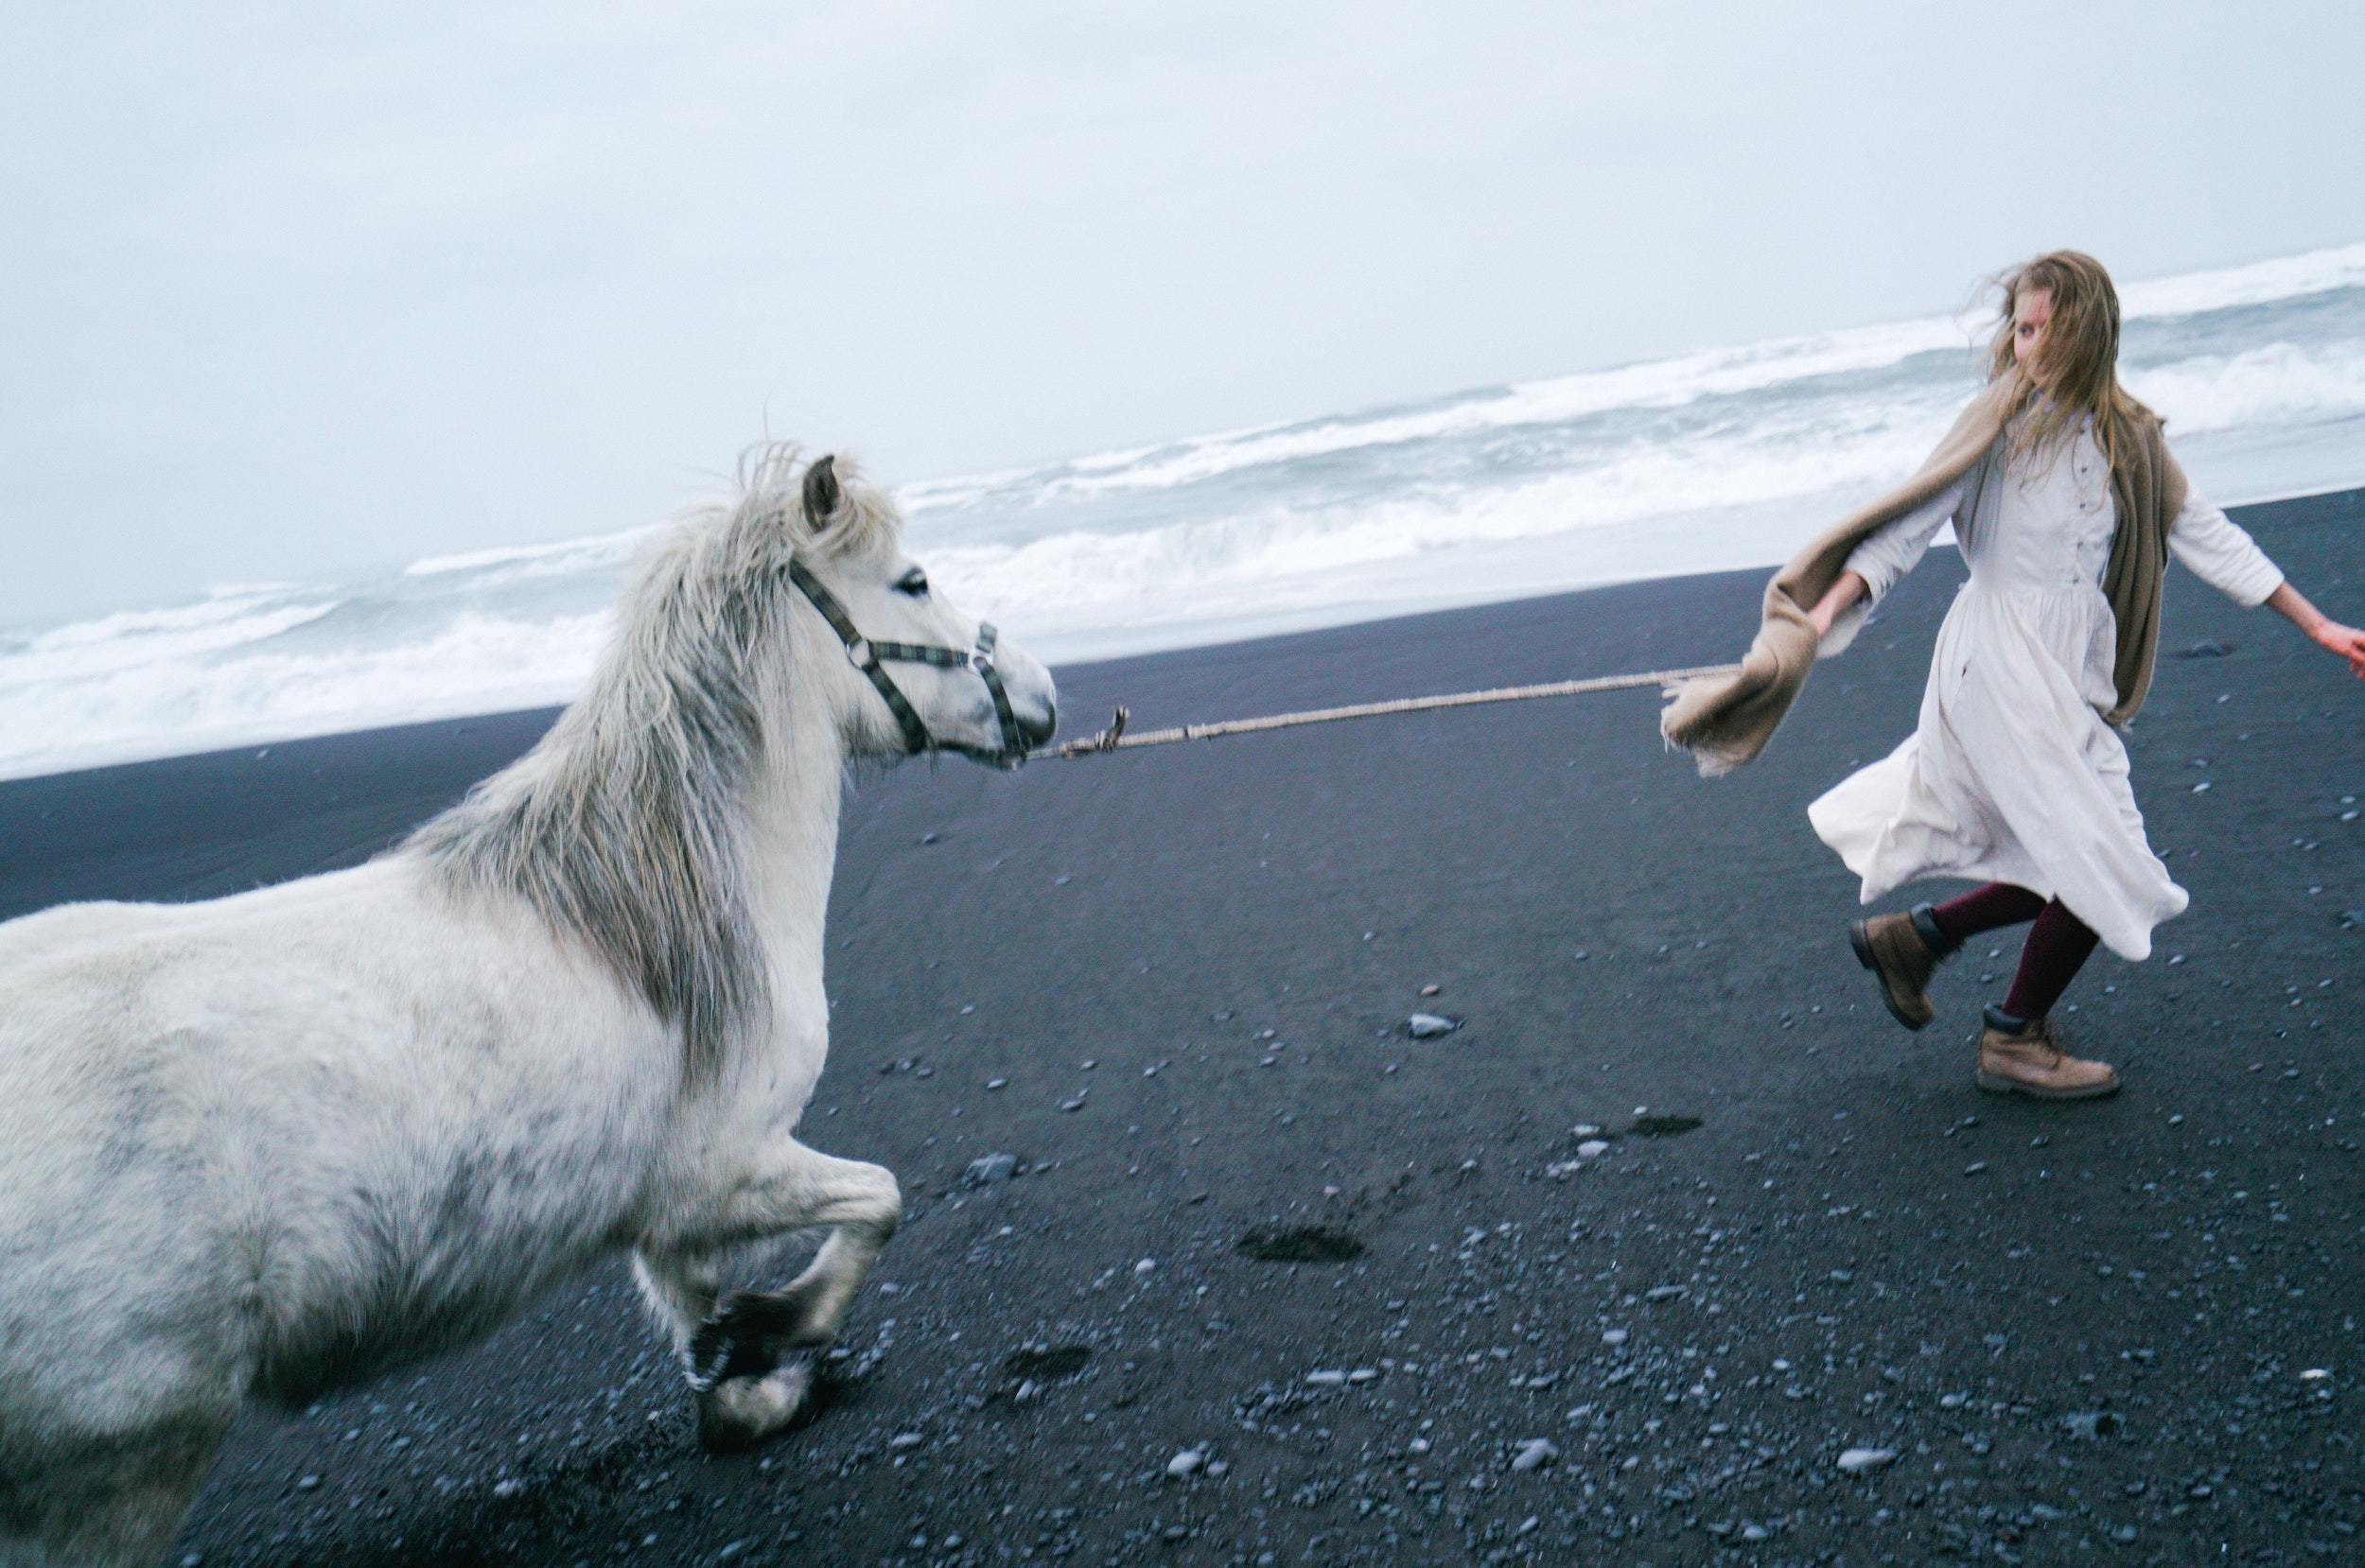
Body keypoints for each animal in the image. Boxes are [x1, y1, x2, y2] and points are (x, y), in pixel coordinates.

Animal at [0, 450, 1057, 1567]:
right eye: (913, 582)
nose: (1045, 694)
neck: (646, 908)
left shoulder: (673, 1216)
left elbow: (699, 1309)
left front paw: (744, 1383)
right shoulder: (723, 1171)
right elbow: (879, 1200)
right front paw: (778, 1325)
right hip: (121, 1469)